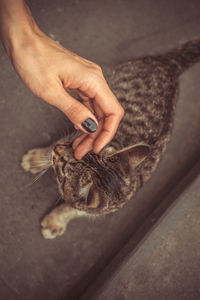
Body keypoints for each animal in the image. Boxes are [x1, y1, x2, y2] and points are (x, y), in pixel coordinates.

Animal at [21, 39, 200, 239]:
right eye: (74, 148)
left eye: (64, 167)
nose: (59, 149)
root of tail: (170, 66)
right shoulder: (77, 133)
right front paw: (37, 159)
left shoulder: (97, 208)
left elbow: (73, 209)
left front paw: (57, 219)